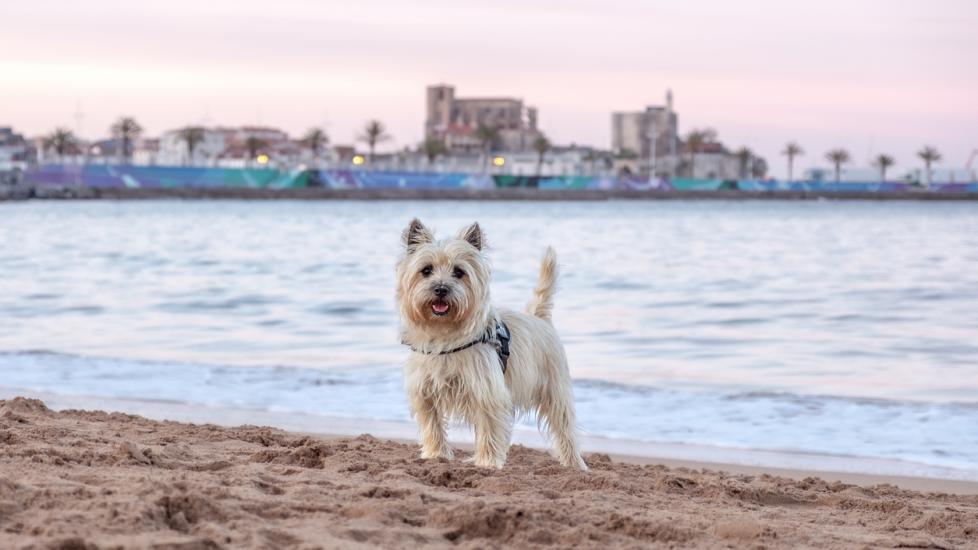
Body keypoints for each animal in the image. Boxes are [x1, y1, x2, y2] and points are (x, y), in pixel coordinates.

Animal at [392, 219, 584, 470]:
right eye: (426, 270)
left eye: (459, 272)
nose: (441, 289)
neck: (444, 336)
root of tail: (539, 317)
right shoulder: (425, 393)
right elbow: (432, 425)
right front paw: (436, 455)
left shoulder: (487, 392)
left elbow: (490, 429)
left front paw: (488, 462)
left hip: (555, 389)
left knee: (564, 427)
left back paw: (575, 464)